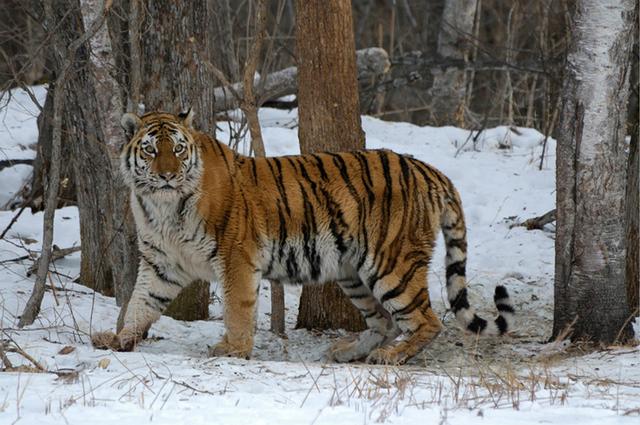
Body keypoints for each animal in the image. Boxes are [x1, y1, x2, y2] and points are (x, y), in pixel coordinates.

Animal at [91, 109, 516, 364]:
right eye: (150, 150)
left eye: (178, 150)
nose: (167, 175)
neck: (162, 207)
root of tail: (429, 169)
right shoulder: (161, 263)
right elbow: (139, 304)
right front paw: (119, 339)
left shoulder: (235, 257)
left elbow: (237, 309)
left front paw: (233, 350)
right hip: (352, 272)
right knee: (385, 322)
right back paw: (346, 351)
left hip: (391, 264)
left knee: (426, 321)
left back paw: (391, 357)